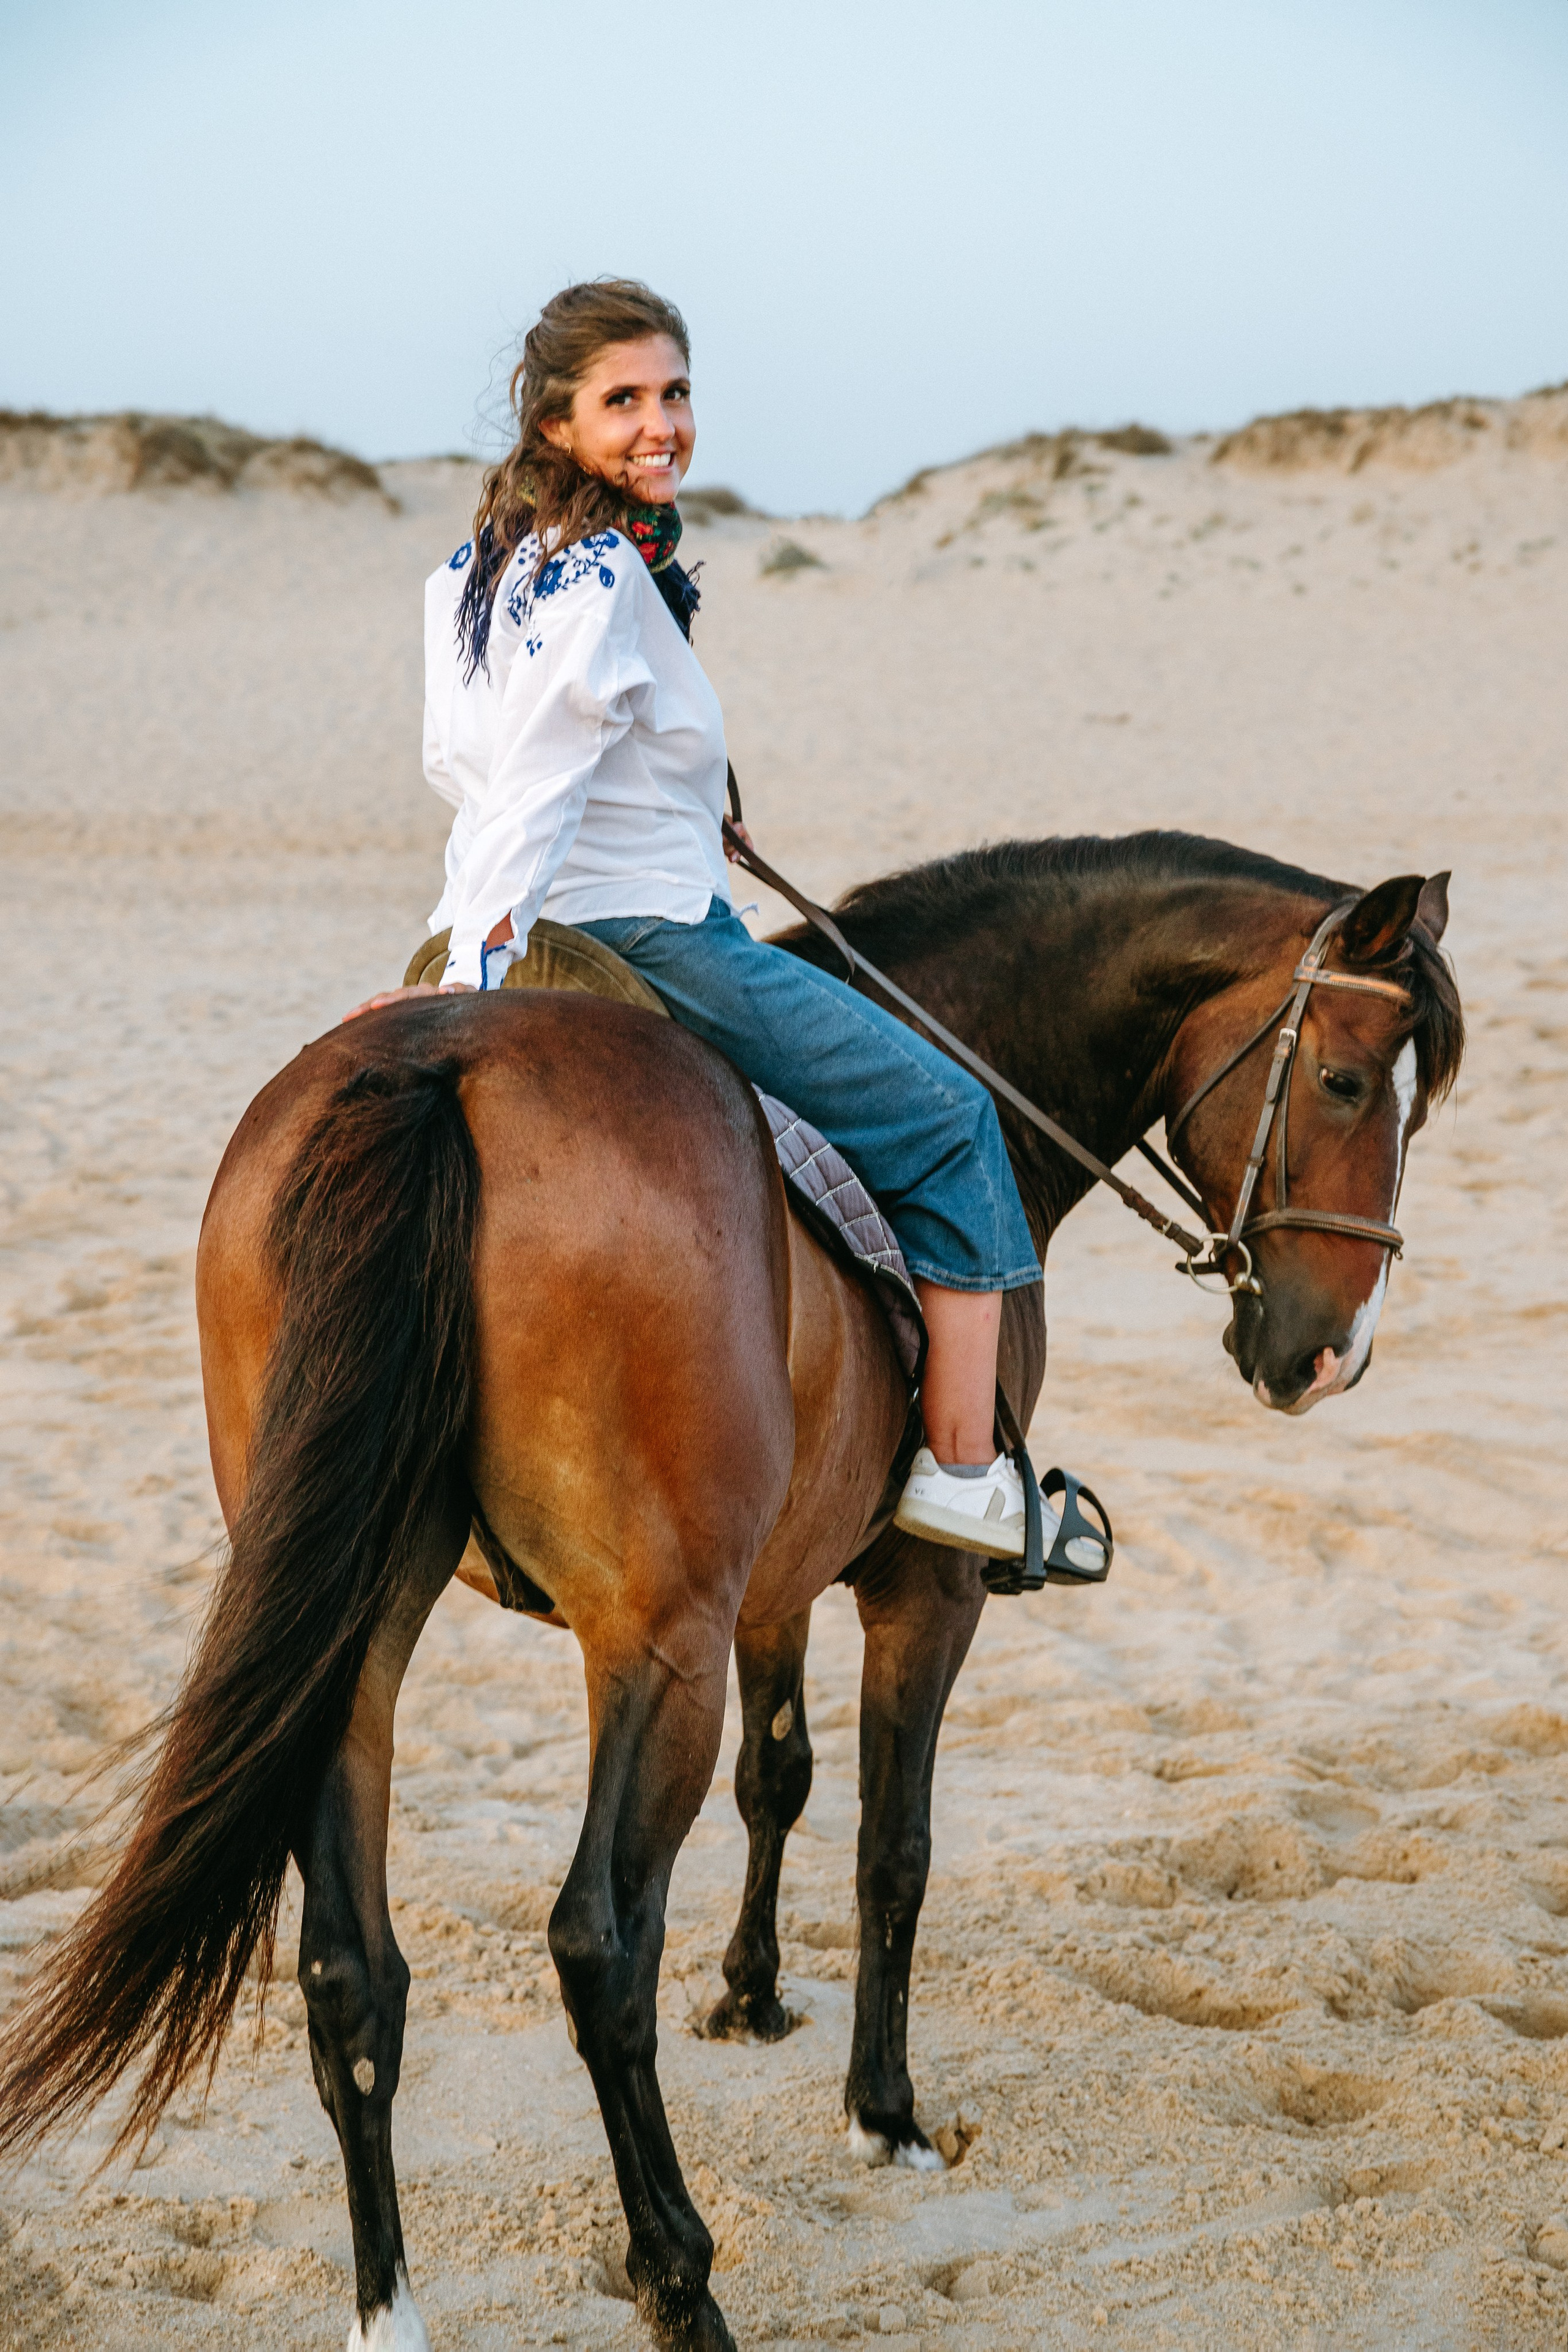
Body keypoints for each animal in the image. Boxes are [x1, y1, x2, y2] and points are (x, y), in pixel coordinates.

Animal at [0, 833, 1462, 2352]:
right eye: (1345, 1080)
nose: (1330, 1356)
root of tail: (439, 1068)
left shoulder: (775, 1586)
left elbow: (781, 1777)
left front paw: (750, 1995)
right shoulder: (920, 1594)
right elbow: (891, 1850)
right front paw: (883, 2114)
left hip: (362, 1638)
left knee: (352, 1971)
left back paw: (389, 2307)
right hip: (655, 1647)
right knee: (595, 1942)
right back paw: (677, 2275)